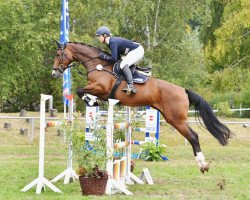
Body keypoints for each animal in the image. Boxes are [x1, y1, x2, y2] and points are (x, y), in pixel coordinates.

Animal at [52, 41, 232, 173]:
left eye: (59, 54)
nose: (55, 73)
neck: (97, 64)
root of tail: (183, 90)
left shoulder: (101, 88)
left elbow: (80, 90)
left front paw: (92, 101)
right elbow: (82, 91)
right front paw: (93, 101)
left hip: (175, 119)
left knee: (193, 136)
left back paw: (202, 165)